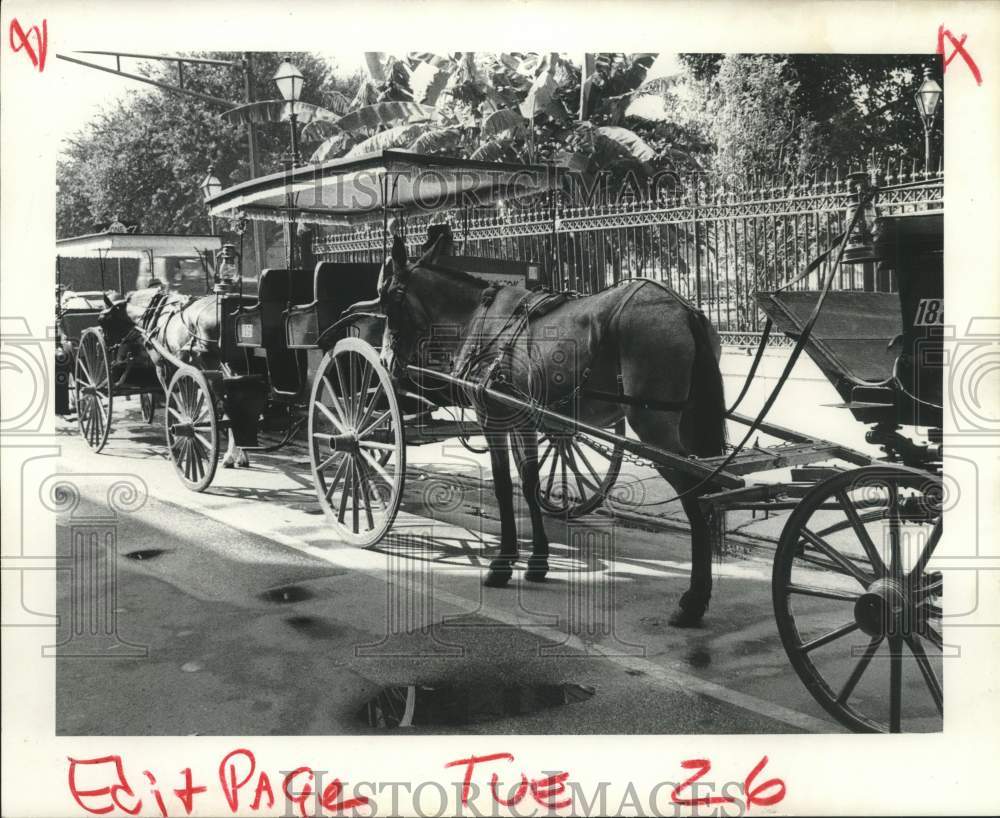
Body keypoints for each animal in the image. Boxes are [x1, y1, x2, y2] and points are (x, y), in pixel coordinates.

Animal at [378, 233, 732, 628]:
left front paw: (502, 564)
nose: (387, 361)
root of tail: (683, 310)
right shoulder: (523, 421)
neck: (478, 317)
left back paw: (694, 599)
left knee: (696, 493)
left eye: (388, 299)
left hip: (654, 427)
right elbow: (530, 481)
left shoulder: (492, 417)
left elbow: (503, 486)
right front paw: (537, 561)